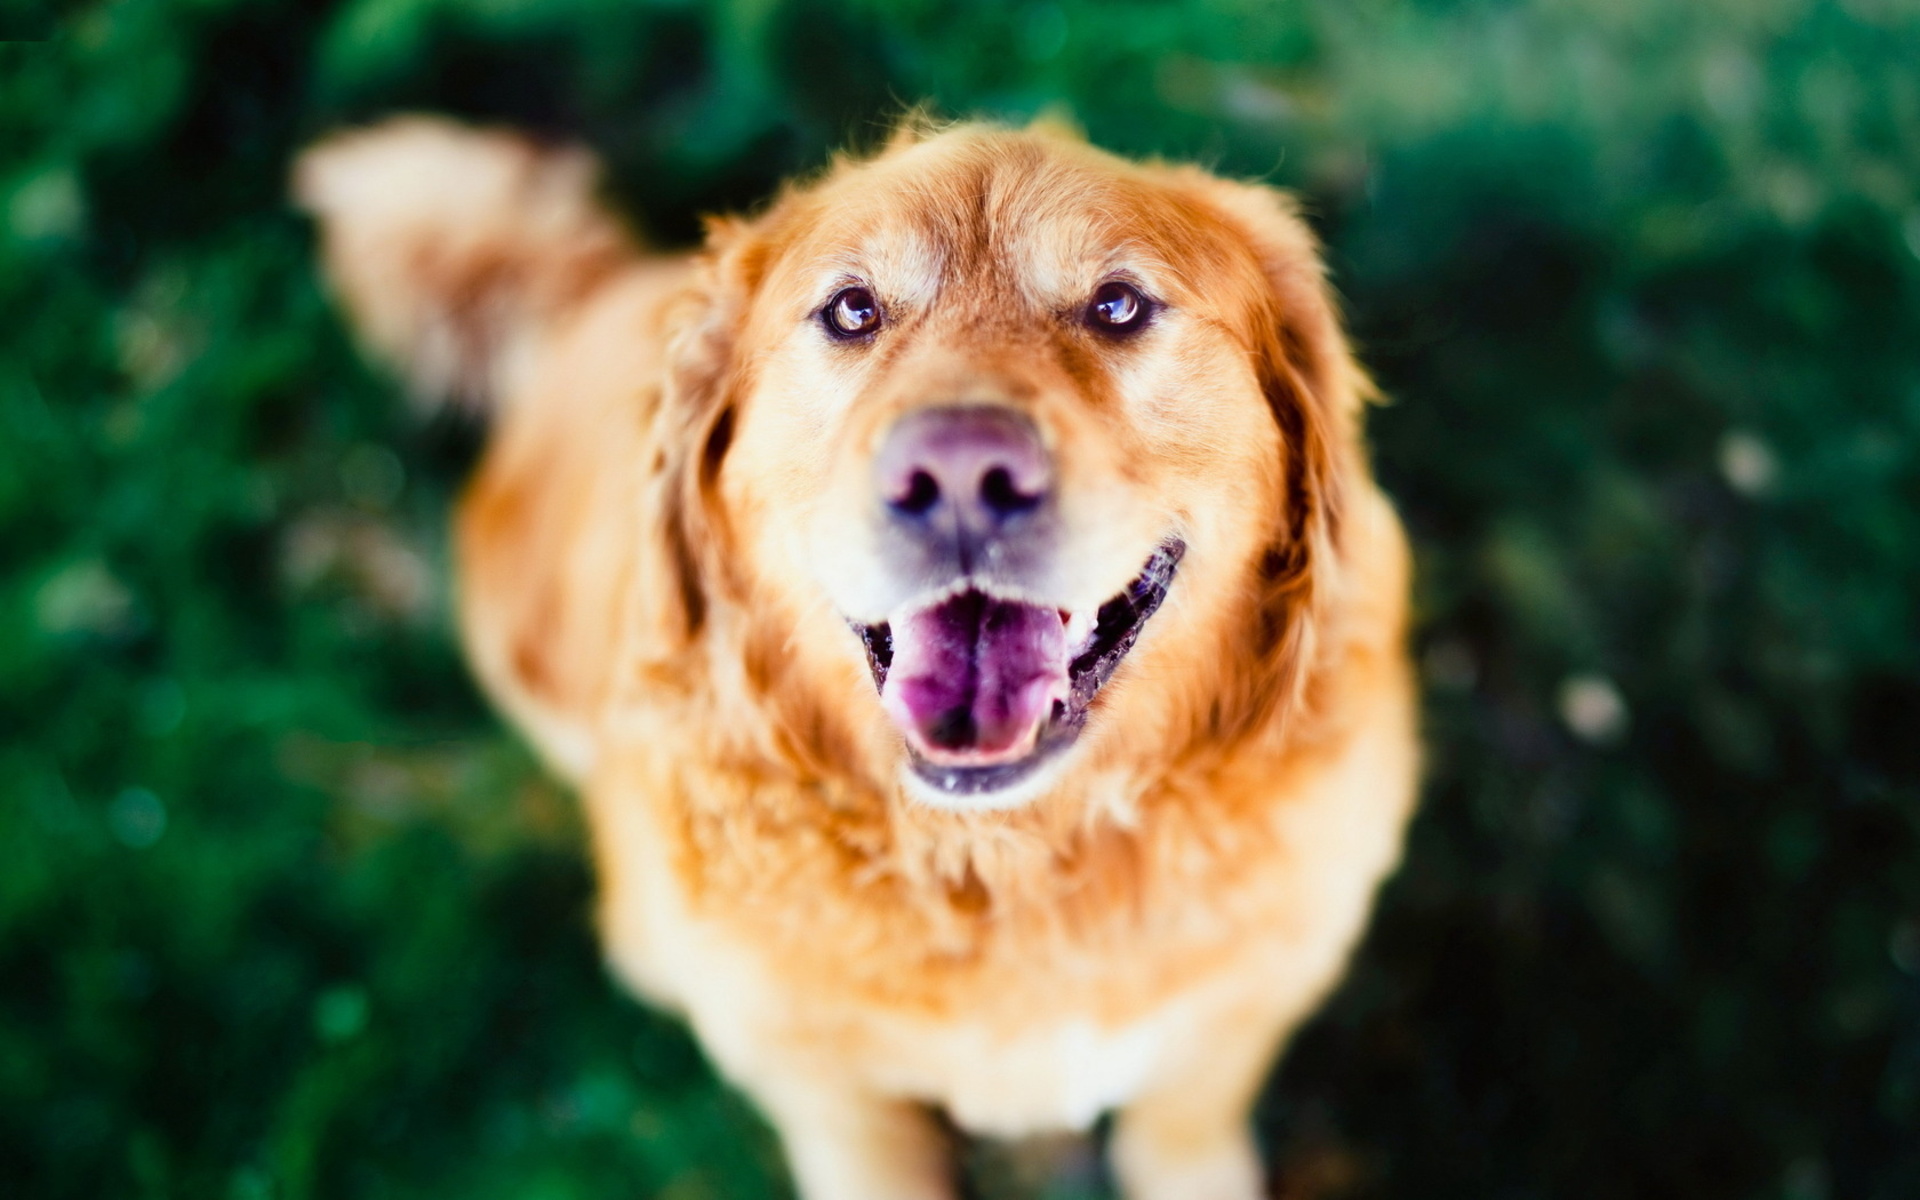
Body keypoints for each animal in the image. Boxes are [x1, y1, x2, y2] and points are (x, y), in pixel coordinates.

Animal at [295, 114, 1413, 1198]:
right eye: (852, 312)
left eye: (1118, 305)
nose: (960, 474)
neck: (1012, 862)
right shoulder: (827, 1093)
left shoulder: (1239, 1016)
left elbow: (1183, 1129)